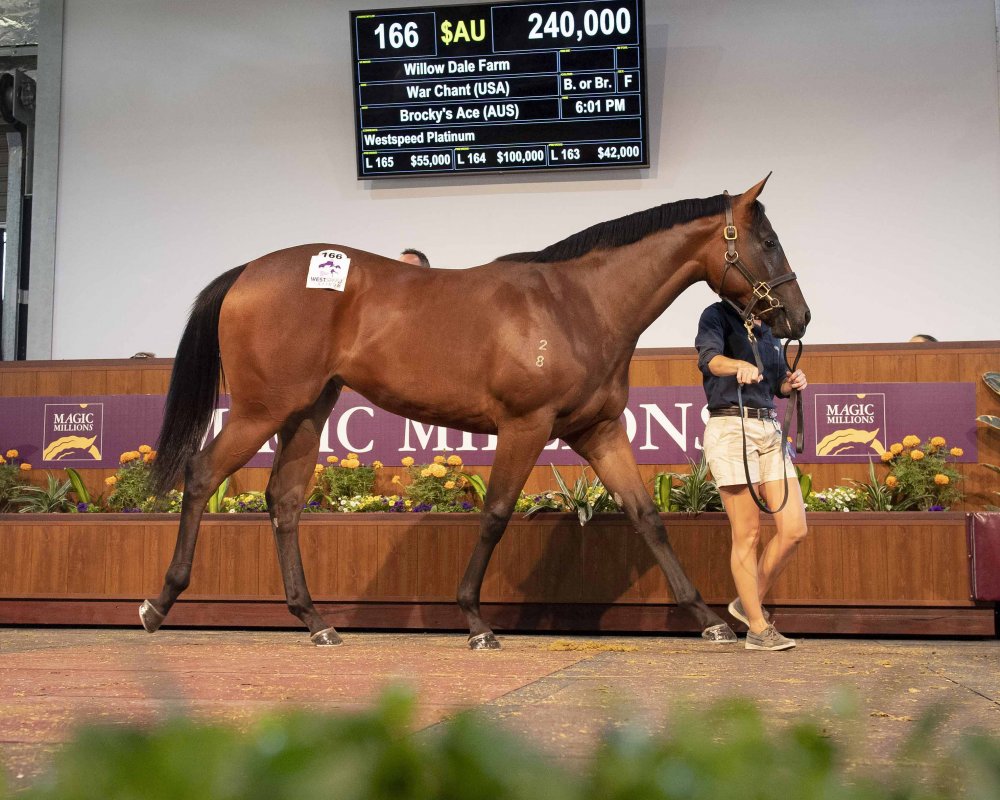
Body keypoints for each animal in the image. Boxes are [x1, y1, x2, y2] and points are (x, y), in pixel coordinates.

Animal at [141, 175, 809, 649]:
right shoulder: (525, 426)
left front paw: (708, 618)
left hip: (306, 411)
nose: (797, 318)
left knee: (283, 502)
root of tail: (247, 272)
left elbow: (648, 517)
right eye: (768, 242)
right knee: (201, 475)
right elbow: (494, 515)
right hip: (261, 409)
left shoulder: (597, 431)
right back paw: (159, 603)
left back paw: (315, 621)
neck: (579, 304)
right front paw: (475, 620)